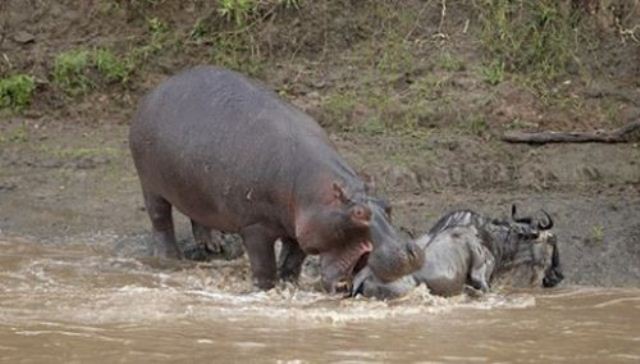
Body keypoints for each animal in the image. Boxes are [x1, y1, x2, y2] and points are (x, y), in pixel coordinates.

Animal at [129, 67, 424, 292]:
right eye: (359, 213)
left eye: (388, 205)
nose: (410, 250)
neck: (317, 191)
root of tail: (156, 90)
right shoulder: (255, 226)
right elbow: (264, 265)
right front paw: (265, 289)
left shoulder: (301, 226)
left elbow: (293, 260)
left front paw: (290, 284)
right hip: (150, 183)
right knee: (160, 219)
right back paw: (169, 258)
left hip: (194, 187)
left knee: (197, 215)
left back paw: (213, 245)